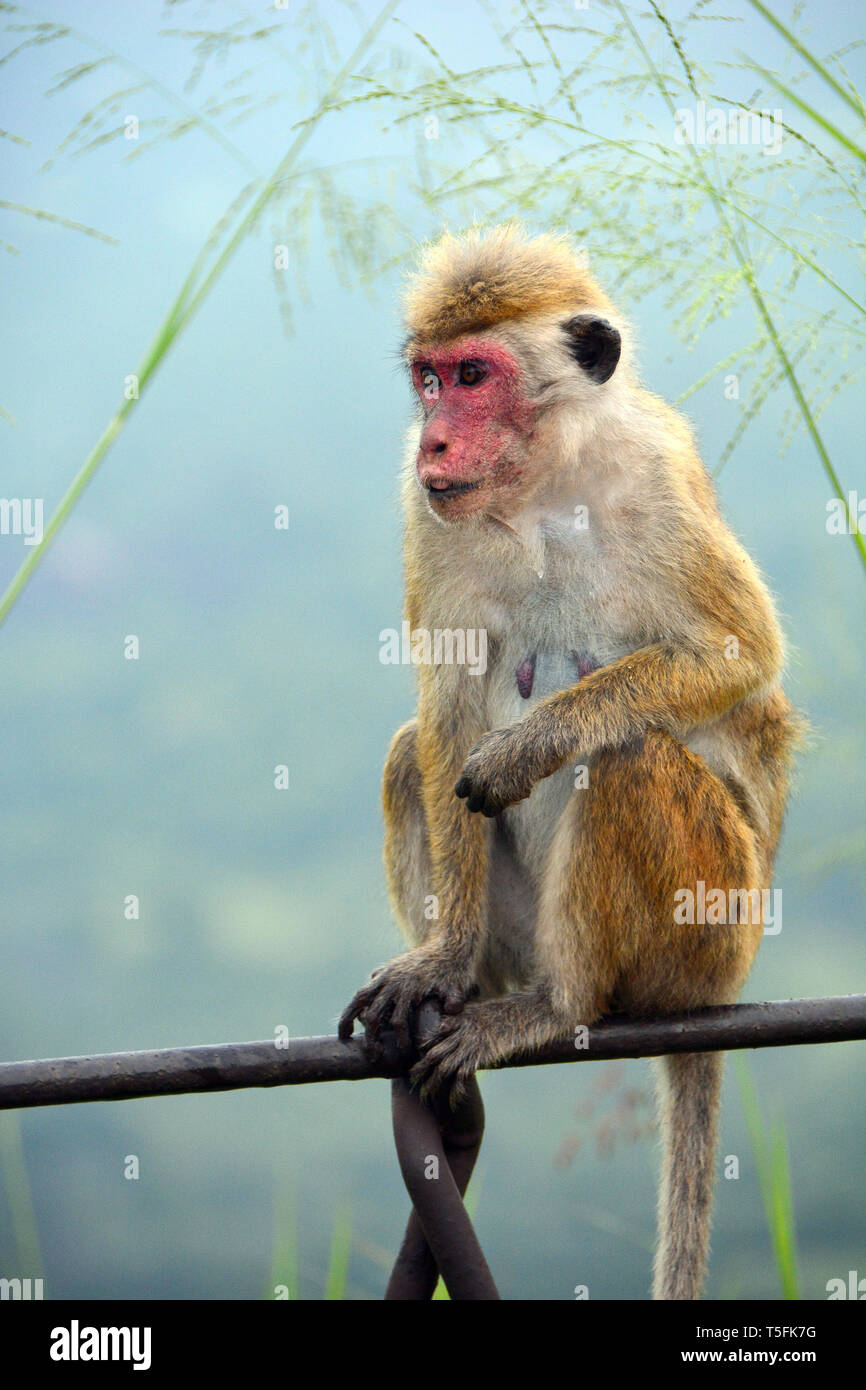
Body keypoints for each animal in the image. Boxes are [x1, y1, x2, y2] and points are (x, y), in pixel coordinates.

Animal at [338, 223, 799, 1300]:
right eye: (429, 380)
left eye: (474, 376)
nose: (432, 441)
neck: (546, 486)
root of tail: (722, 988)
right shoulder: (428, 512)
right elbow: (446, 714)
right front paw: (439, 959)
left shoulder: (655, 478)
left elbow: (740, 656)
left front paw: (532, 742)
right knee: (408, 755)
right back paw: (471, 984)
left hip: (710, 927)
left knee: (628, 757)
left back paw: (559, 1007)